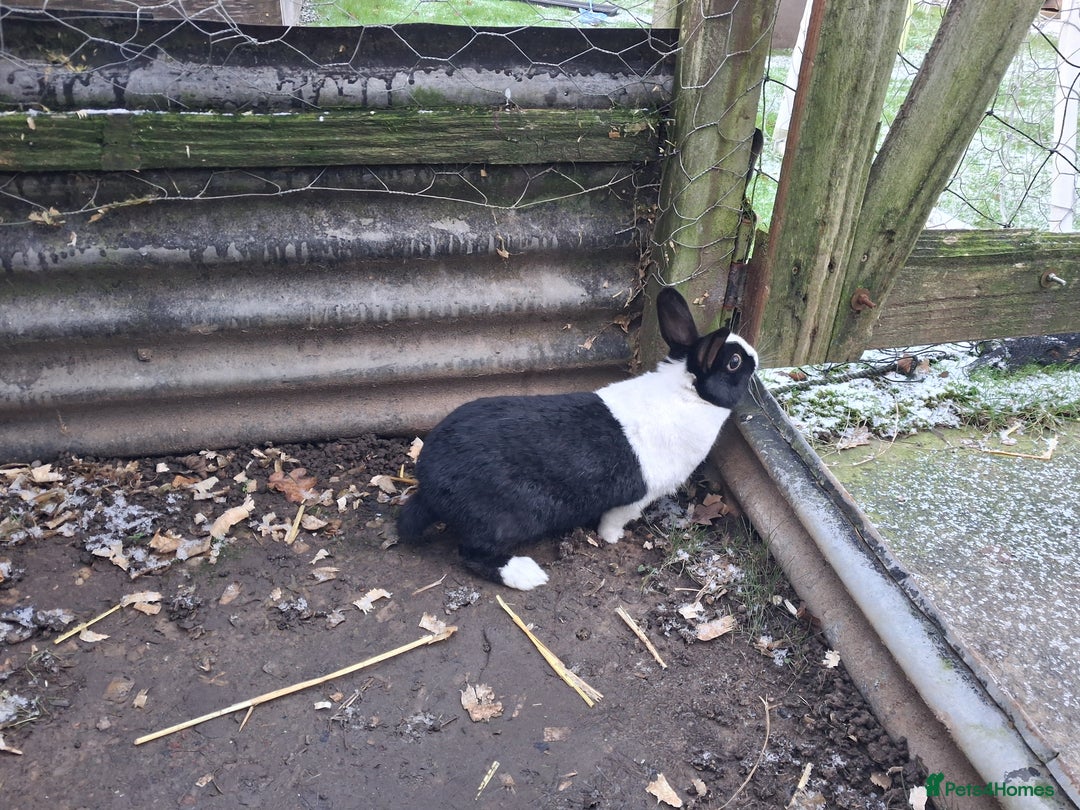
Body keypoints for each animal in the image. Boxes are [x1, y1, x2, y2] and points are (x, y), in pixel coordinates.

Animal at [396, 287, 758, 590]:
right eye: (734, 362)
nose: (755, 357)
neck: (689, 395)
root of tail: (429, 484)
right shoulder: (637, 497)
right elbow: (613, 520)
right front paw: (612, 539)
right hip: (504, 518)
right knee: (474, 554)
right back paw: (528, 575)